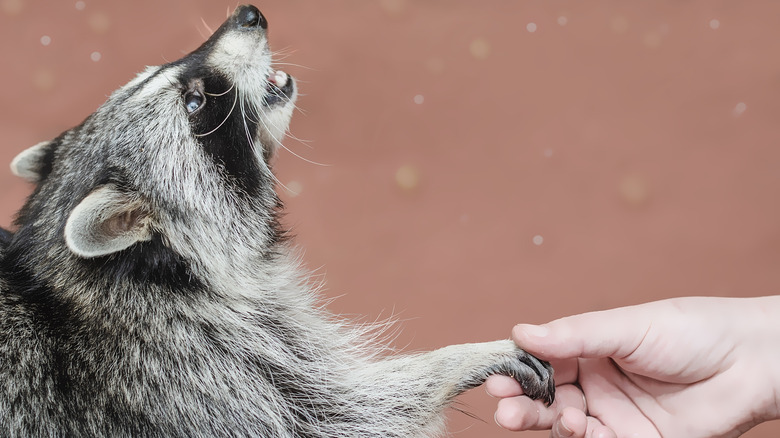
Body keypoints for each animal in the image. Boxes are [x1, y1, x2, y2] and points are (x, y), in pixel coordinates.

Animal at [0, 4, 556, 438]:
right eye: (195, 102)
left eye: (169, 70)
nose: (248, 14)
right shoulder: (177, 366)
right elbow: (332, 416)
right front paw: (455, 360)